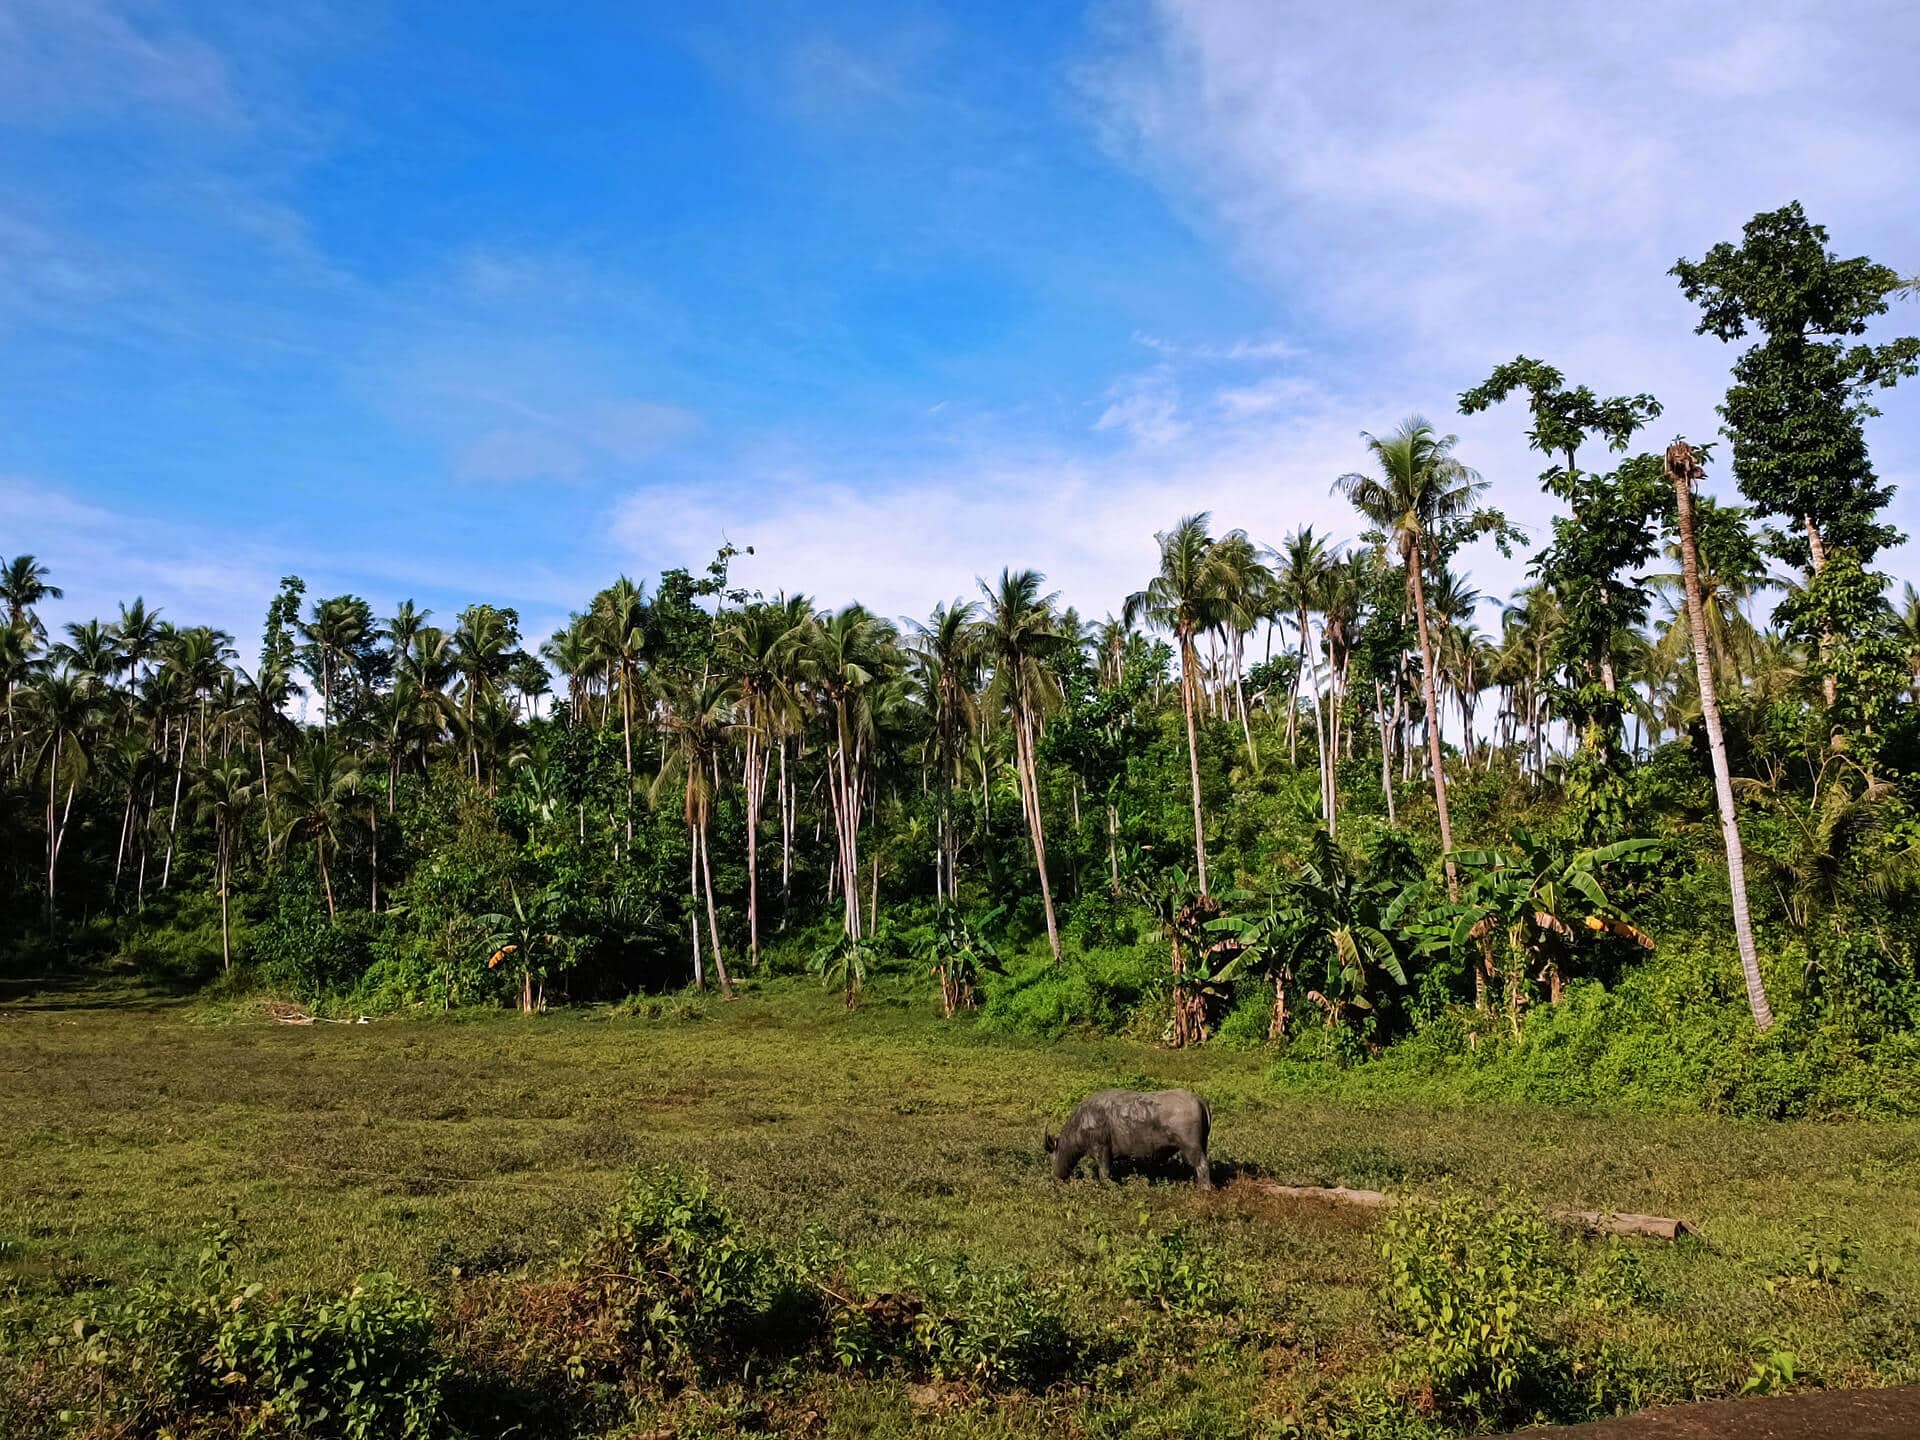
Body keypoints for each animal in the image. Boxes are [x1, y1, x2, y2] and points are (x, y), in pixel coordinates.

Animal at [1044, 1090, 1205, 1190]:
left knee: (1202, 1166)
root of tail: (1200, 1100)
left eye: (1052, 1157)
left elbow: (1104, 1173)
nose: (1054, 1178)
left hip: (1191, 1148)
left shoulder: (1101, 1150)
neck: (1083, 1121)